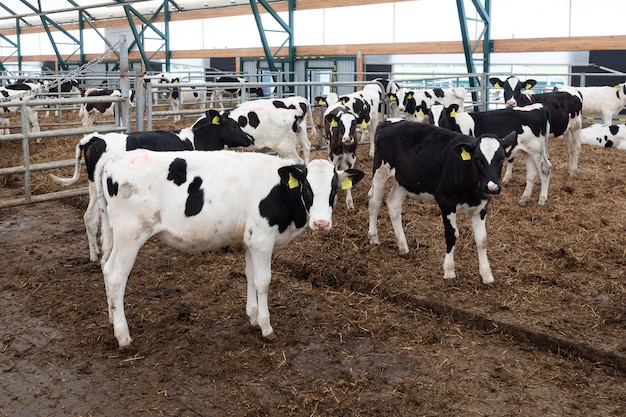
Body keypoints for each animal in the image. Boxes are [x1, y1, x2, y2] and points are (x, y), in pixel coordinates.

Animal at [49, 109, 254, 262]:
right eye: (234, 125)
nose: (250, 139)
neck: (197, 139)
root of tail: (95, 138)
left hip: (94, 187)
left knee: (90, 217)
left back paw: (94, 255)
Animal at [95, 150, 364, 348]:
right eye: (306, 188)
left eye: (333, 189)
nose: (321, 223)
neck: (279, 190)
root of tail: (114, 159)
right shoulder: (262, 239)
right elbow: (264, 281)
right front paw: (266, 326)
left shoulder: (250, 239)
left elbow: (250, 276)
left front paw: (253, 316)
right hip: (130, 236)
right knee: (116, 276)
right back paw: (123, 335)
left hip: (116, 236)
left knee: (106, 268)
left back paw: (110, 316)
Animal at [368, 118, 516, 284]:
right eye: (478, 159)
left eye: (501, 159)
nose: (492, 187)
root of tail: (388, 122)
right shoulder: (446, 202)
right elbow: (452, 234)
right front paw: (449, 271)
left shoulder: (481, 207)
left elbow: (481, 239)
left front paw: (487, 275)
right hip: (380, 170)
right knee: (374, 203)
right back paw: (373, 237)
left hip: (404, 180)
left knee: (393, 204)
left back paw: (403, 247)